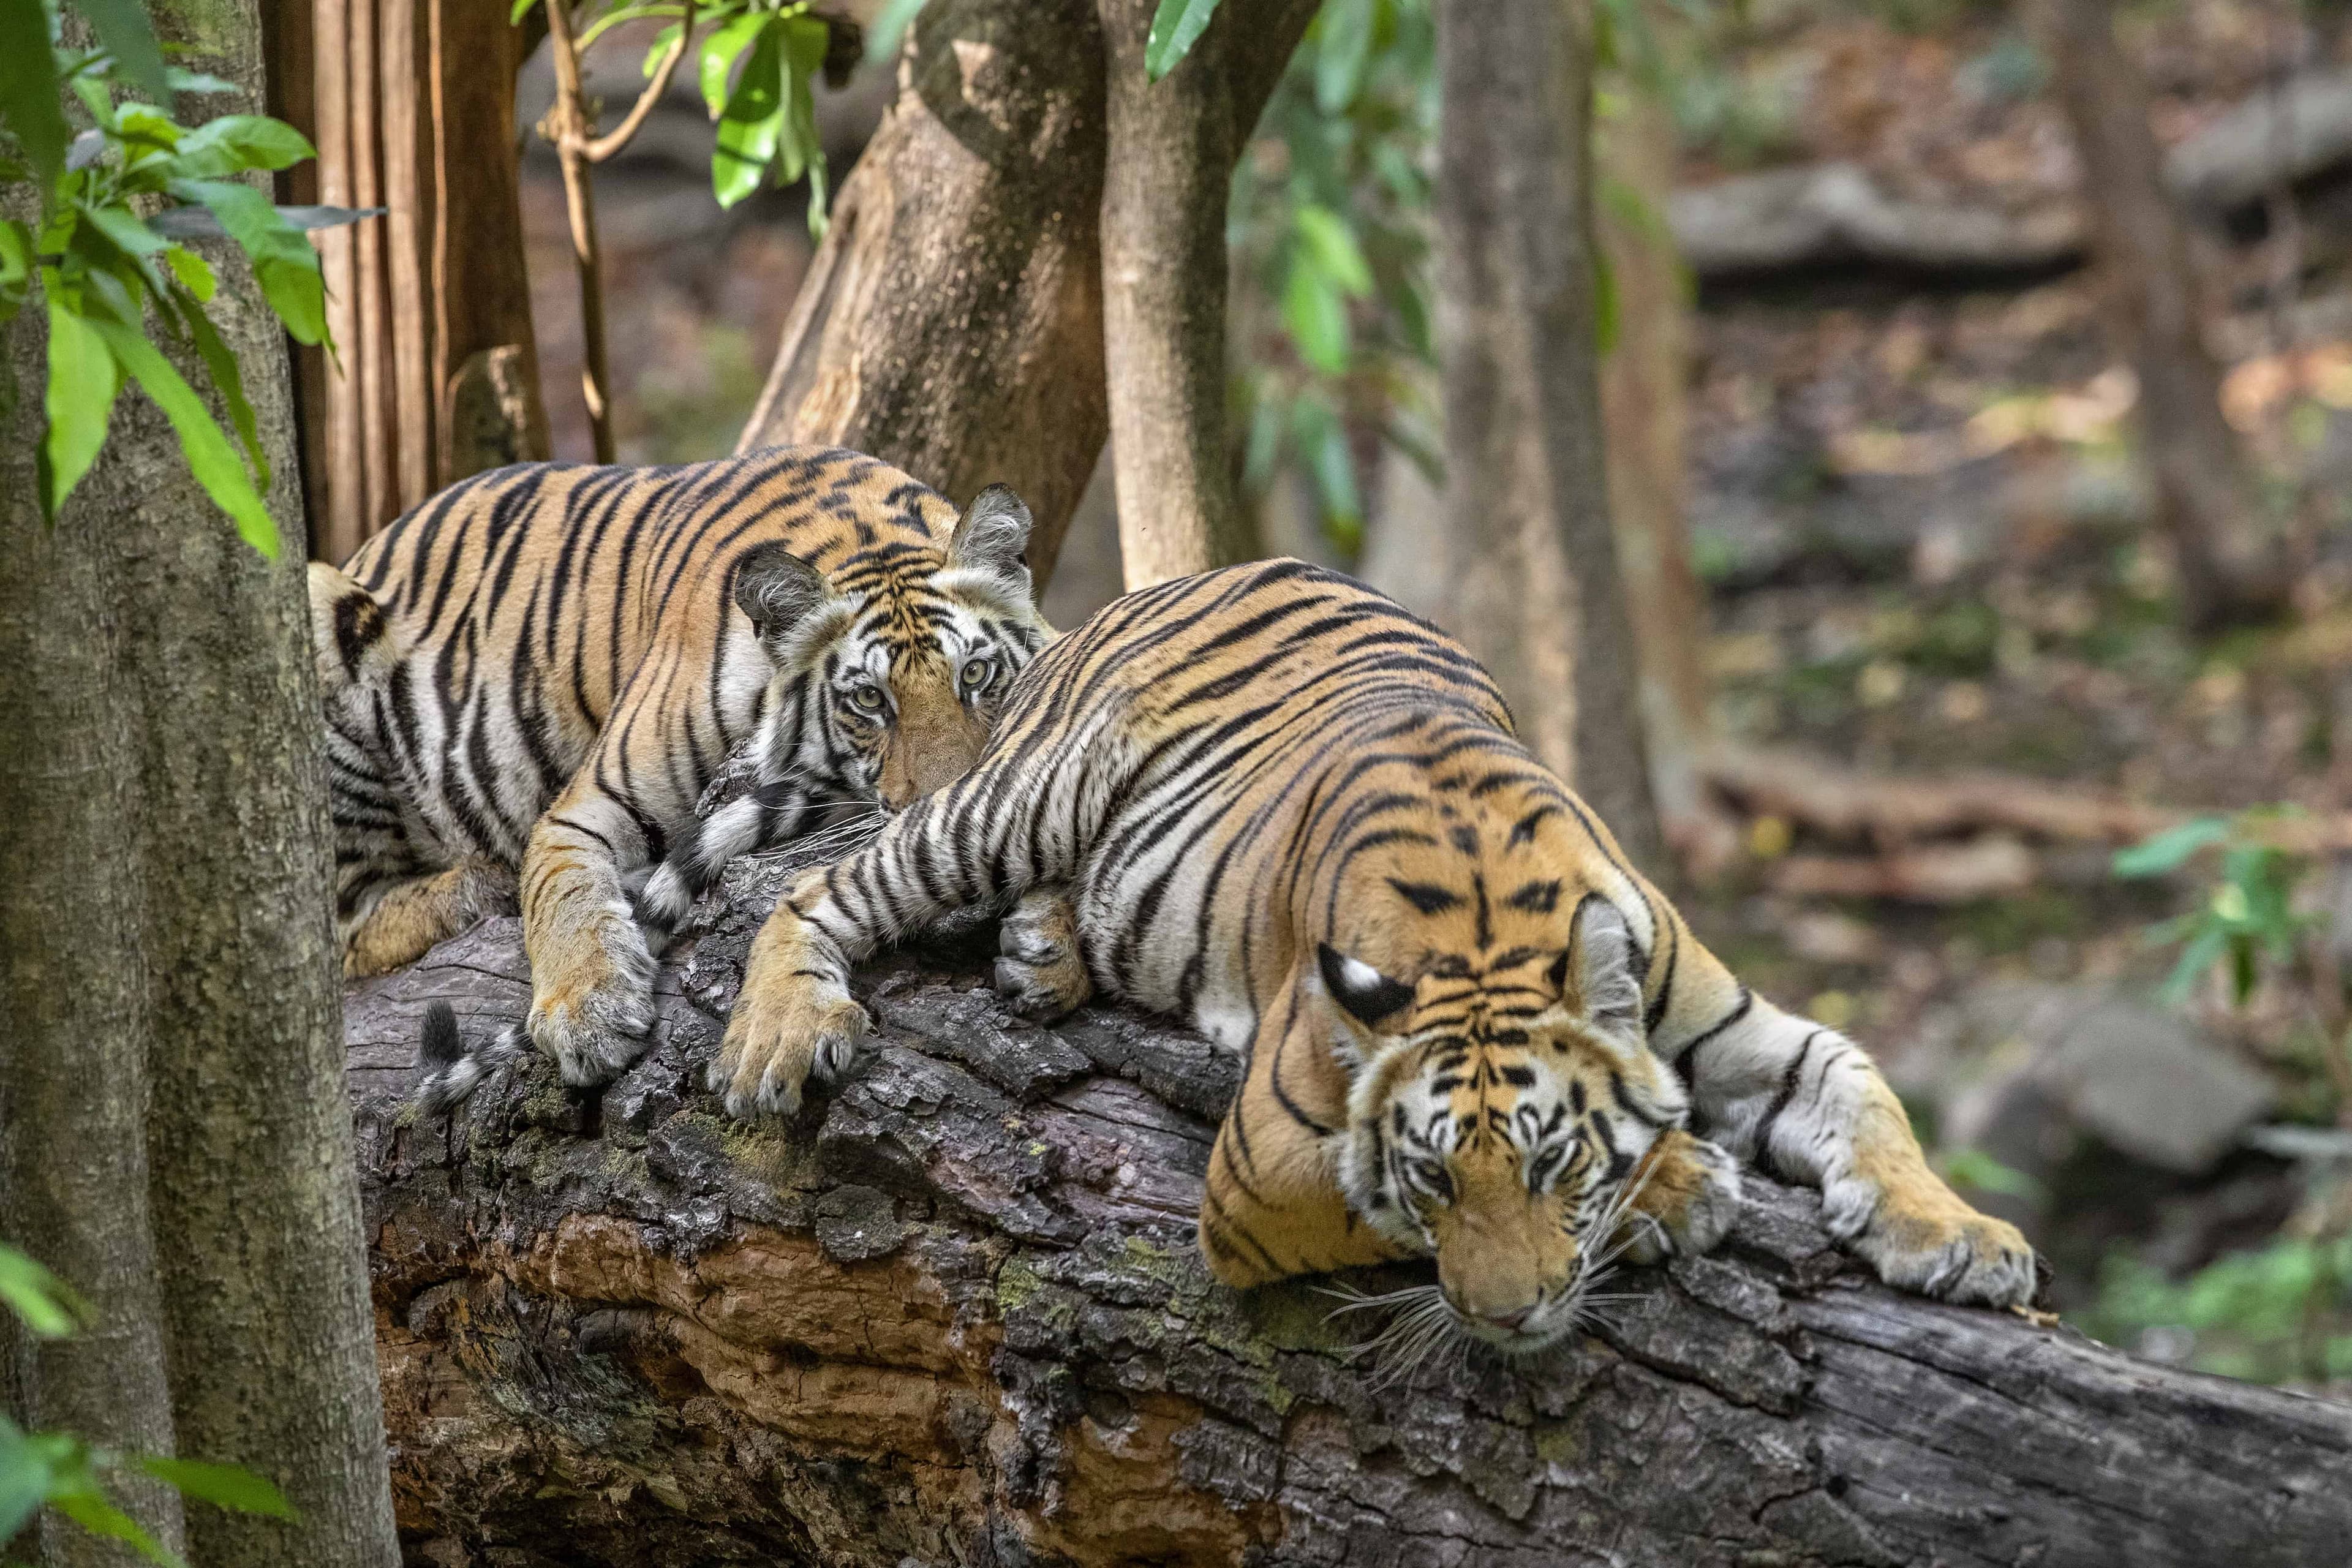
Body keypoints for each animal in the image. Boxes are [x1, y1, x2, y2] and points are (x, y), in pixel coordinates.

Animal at [310, 445, 1049, 1093]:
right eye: (869, 700)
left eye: (976, 674)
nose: (949, 814)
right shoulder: (585, 806)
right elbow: (562, 897)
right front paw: (588, 1015)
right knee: (346, 926)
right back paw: (478, 886)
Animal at [706, 559, 2036, 1345]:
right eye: (1438, 1175)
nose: (1508, 1321)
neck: (1498, 928)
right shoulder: (1265, 1160)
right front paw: (1678, 1184)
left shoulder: (1735, 1020)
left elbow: (1861, 1087)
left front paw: (1963, 1237)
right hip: (1017, 798)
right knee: (825, 887)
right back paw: (779, 1038)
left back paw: (1044, 949)